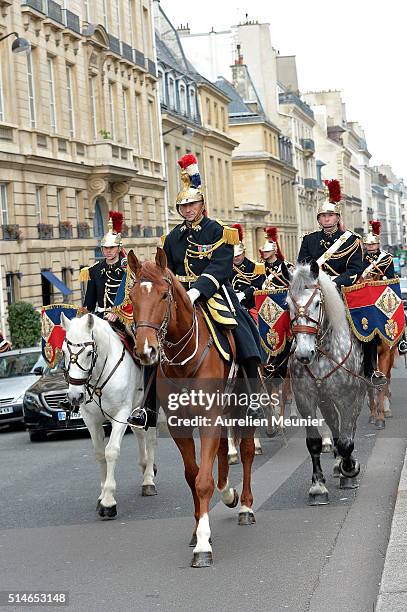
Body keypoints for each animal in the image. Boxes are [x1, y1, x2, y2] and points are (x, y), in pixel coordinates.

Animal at [60, 314, 158, 520]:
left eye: (89, 353)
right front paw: (102, 494)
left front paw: (108, 502)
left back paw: (148, 481)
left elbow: (111, 451)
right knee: (140, 433)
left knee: (151, 439)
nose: (75, 396)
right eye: (63, 352)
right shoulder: (91, 419)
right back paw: (146, 466)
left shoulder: (120, 414)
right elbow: (99, 454)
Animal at [127, 249, 256, 568]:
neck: (182, 359)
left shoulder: (209, 418)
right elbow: (192, 474)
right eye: (132, 297)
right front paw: (198, 529)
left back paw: (245, 506)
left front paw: (203, 546)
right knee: (223, 451)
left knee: (247, 451)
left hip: (243, 408)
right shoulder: (179, 424)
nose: (146, 350)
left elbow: (203, 481)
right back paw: (229, 493)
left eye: (164, 295)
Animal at [286, 260, 366, 504]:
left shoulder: (348, 398)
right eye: (287, 304)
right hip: (325, 400)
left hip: (357, 395)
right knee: (334, 424)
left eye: (317, 303)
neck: (322, 354)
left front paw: (350, 469)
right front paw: (318, 487)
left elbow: (347, 441)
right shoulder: (305, 400)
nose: (303, 354)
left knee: (349, 428)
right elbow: (314, 442)